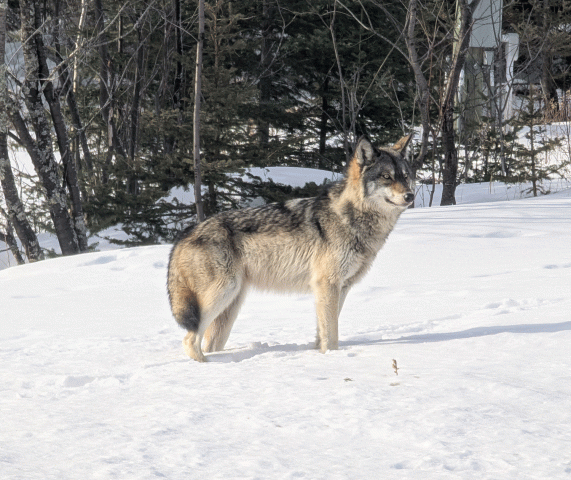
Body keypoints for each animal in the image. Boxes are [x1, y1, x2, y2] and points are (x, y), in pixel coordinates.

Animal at [167, 136, 414, 361]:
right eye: (386, 176)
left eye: (406, 176)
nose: (410, 195)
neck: (351, 216)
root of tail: (185, 234)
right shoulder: (327, 284)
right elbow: (332, 334)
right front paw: (333, 359)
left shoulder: (339, 288)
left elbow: (323, 333)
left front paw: (320, 355)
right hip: (222, 293)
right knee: (190, 339)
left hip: (230, 305)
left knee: (208, 342)